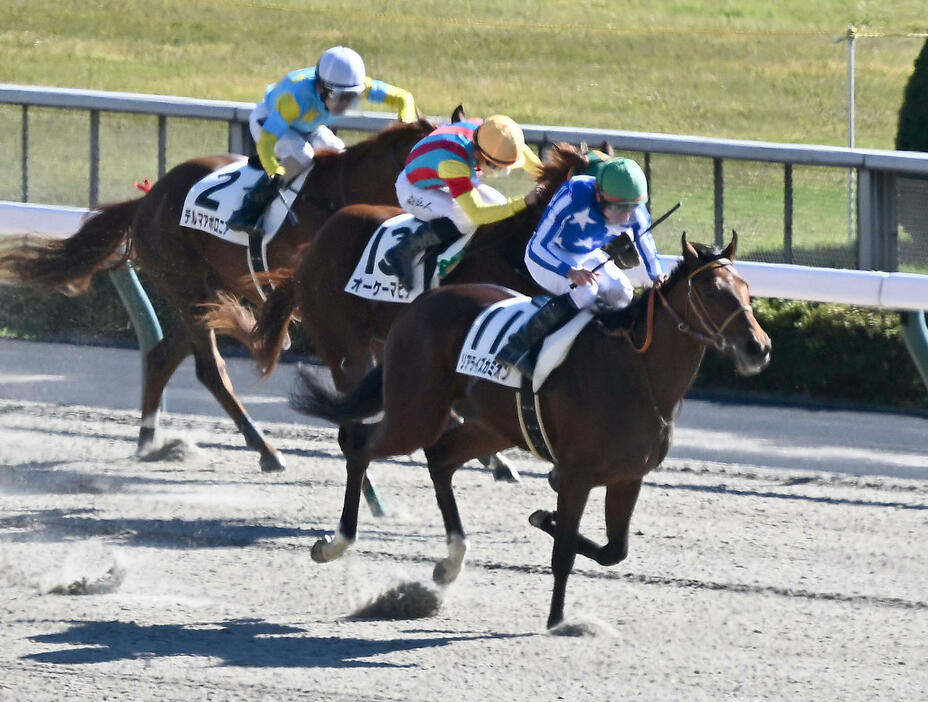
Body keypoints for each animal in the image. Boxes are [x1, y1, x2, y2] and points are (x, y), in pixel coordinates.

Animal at [0, 118, 436, 472]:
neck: (340, 195)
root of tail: (148, 198)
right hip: (186, 281)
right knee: (210, 369)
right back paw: (265, 450)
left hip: (209, 290)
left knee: (162, 355)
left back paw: (149, 440)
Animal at [288, 234, 768, 628]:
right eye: (712, 291)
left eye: (747, 289)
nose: (758, 347)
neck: (636, 373)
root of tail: (420, 306)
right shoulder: (577, 475)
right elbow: (564, 553)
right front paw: (558, 620)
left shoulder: (628, 476)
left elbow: (614, 551)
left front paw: (543, 518)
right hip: (416, 411)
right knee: (360, 445)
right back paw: (335, 543)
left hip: (491, 426)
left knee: (440, 457)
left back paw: (450, 562)